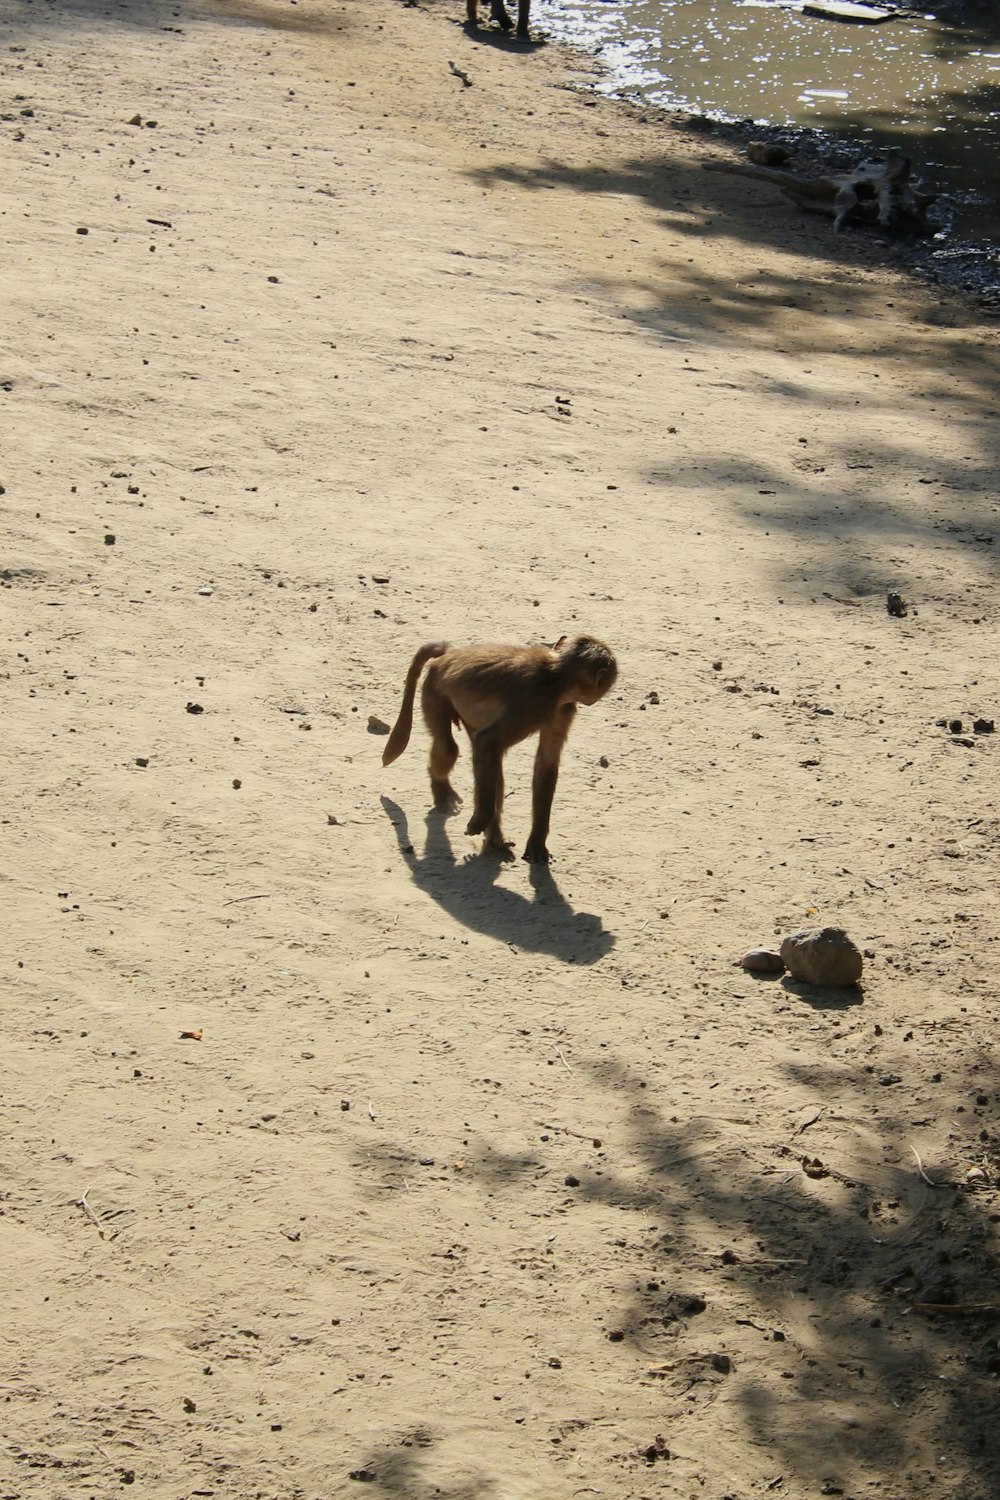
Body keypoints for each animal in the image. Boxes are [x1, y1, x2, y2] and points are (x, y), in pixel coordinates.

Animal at [383, 636, 617, 870]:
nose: (595, 698)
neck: (556, 675)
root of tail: (451, 652)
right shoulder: (534, 703)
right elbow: (488, 742)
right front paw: (478, 821)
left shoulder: (563, 709)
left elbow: (545, 764)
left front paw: (536, 843)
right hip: (435, 689)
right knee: (450, 748)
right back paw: (444, 793)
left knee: (491, 765)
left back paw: (495, 838)